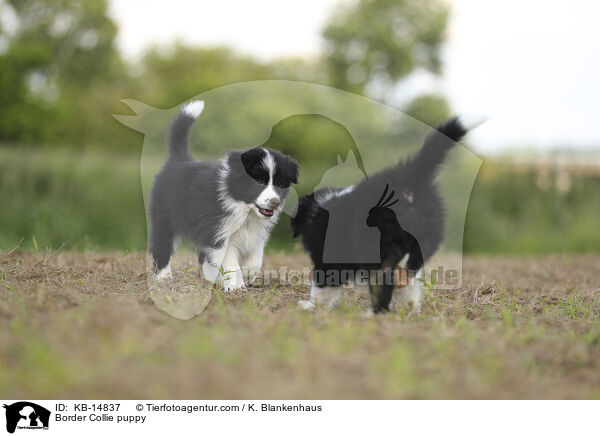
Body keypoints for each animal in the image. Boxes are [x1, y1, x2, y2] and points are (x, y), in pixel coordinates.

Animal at [150, 101, 300, 292]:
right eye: (259, 181)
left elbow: (255, 260)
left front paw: (248, 275)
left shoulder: (256, 233)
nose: (275, 202)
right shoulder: (220, 233)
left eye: (280, 183)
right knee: (162, 245)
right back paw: (163, 276)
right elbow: (230, 261)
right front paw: (236, 287)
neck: (245, 209)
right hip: (165, 217)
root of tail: (179, 161)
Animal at [292, 115, 486, 314]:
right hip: (426, 236)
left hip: (378, 246)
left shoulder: (329, 257)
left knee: (384, 281)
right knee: (409, 274)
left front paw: (311, 306)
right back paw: (406, 305)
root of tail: (407, 178)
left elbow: (322, 288)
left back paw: (373, 313)